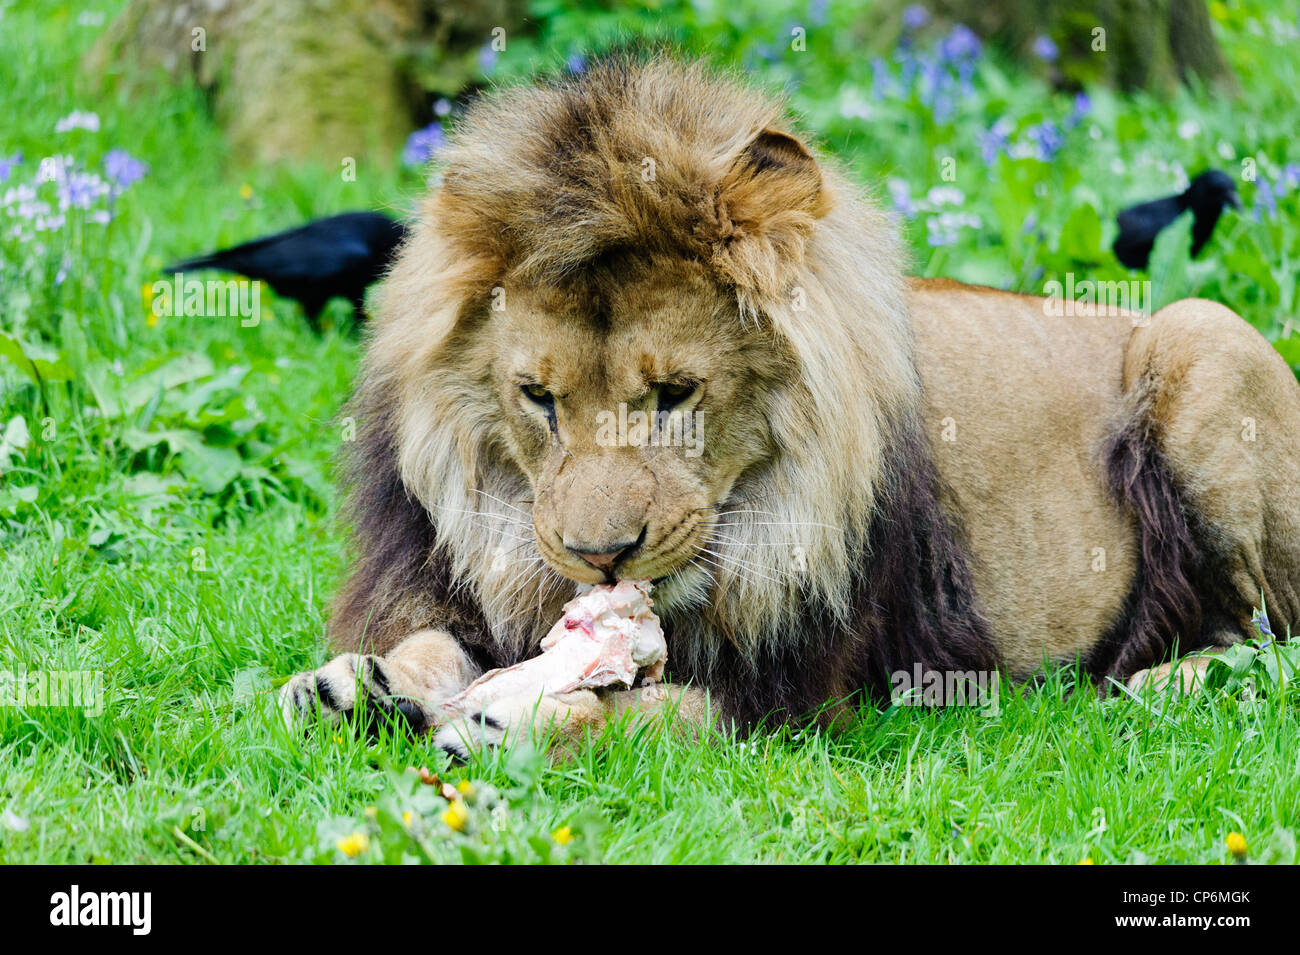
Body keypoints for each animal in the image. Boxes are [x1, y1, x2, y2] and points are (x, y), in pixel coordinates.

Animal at [279, 57, 1300, 758]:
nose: (600, 557)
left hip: (1202, 334)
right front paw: (359, 684)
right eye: (538, 399)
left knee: (1269, 641)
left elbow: (648, 716)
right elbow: (430, 643)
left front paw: (524, 719)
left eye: (676, 395)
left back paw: (1170, 683)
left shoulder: (804, 701)